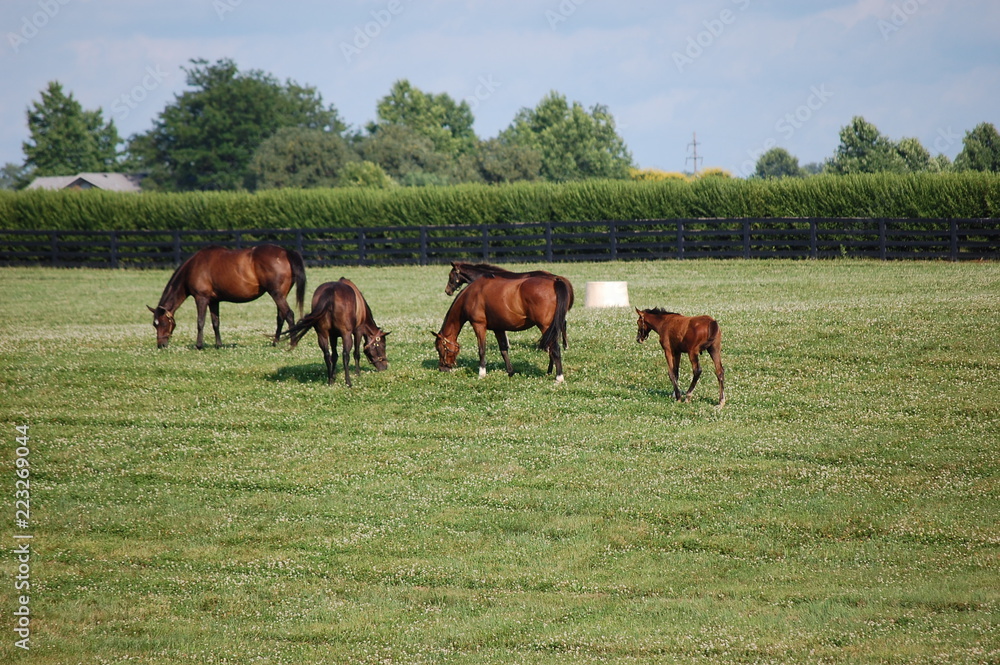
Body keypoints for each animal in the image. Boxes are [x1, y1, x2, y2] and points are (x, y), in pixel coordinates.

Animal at [147, 243, 304, 348]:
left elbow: (200, 321)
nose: (161, 345)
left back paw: (292, 342)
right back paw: (275, 342)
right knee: (281, 317)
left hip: (276, 294)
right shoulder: (214, 301)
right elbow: (215, 322)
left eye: (162, 323)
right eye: (155, 324)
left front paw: (199, 345)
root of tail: (285, 252)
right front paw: (219, 345)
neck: (193, 267)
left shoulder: (201, 298)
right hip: (281, 294)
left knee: (289, 314)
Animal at [432, 272, 572, 384]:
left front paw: (481, 373)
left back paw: (559, 377)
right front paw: (510, 372)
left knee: (555, 349)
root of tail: (555, 281)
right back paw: (549, 371)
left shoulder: (479, 325)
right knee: (552, 349)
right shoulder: (498, 328)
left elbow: (482, 350)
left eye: (440, 348)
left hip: (545, 326)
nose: (442, 368)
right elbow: (503, 350)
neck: (471, 294)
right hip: (552, 328)